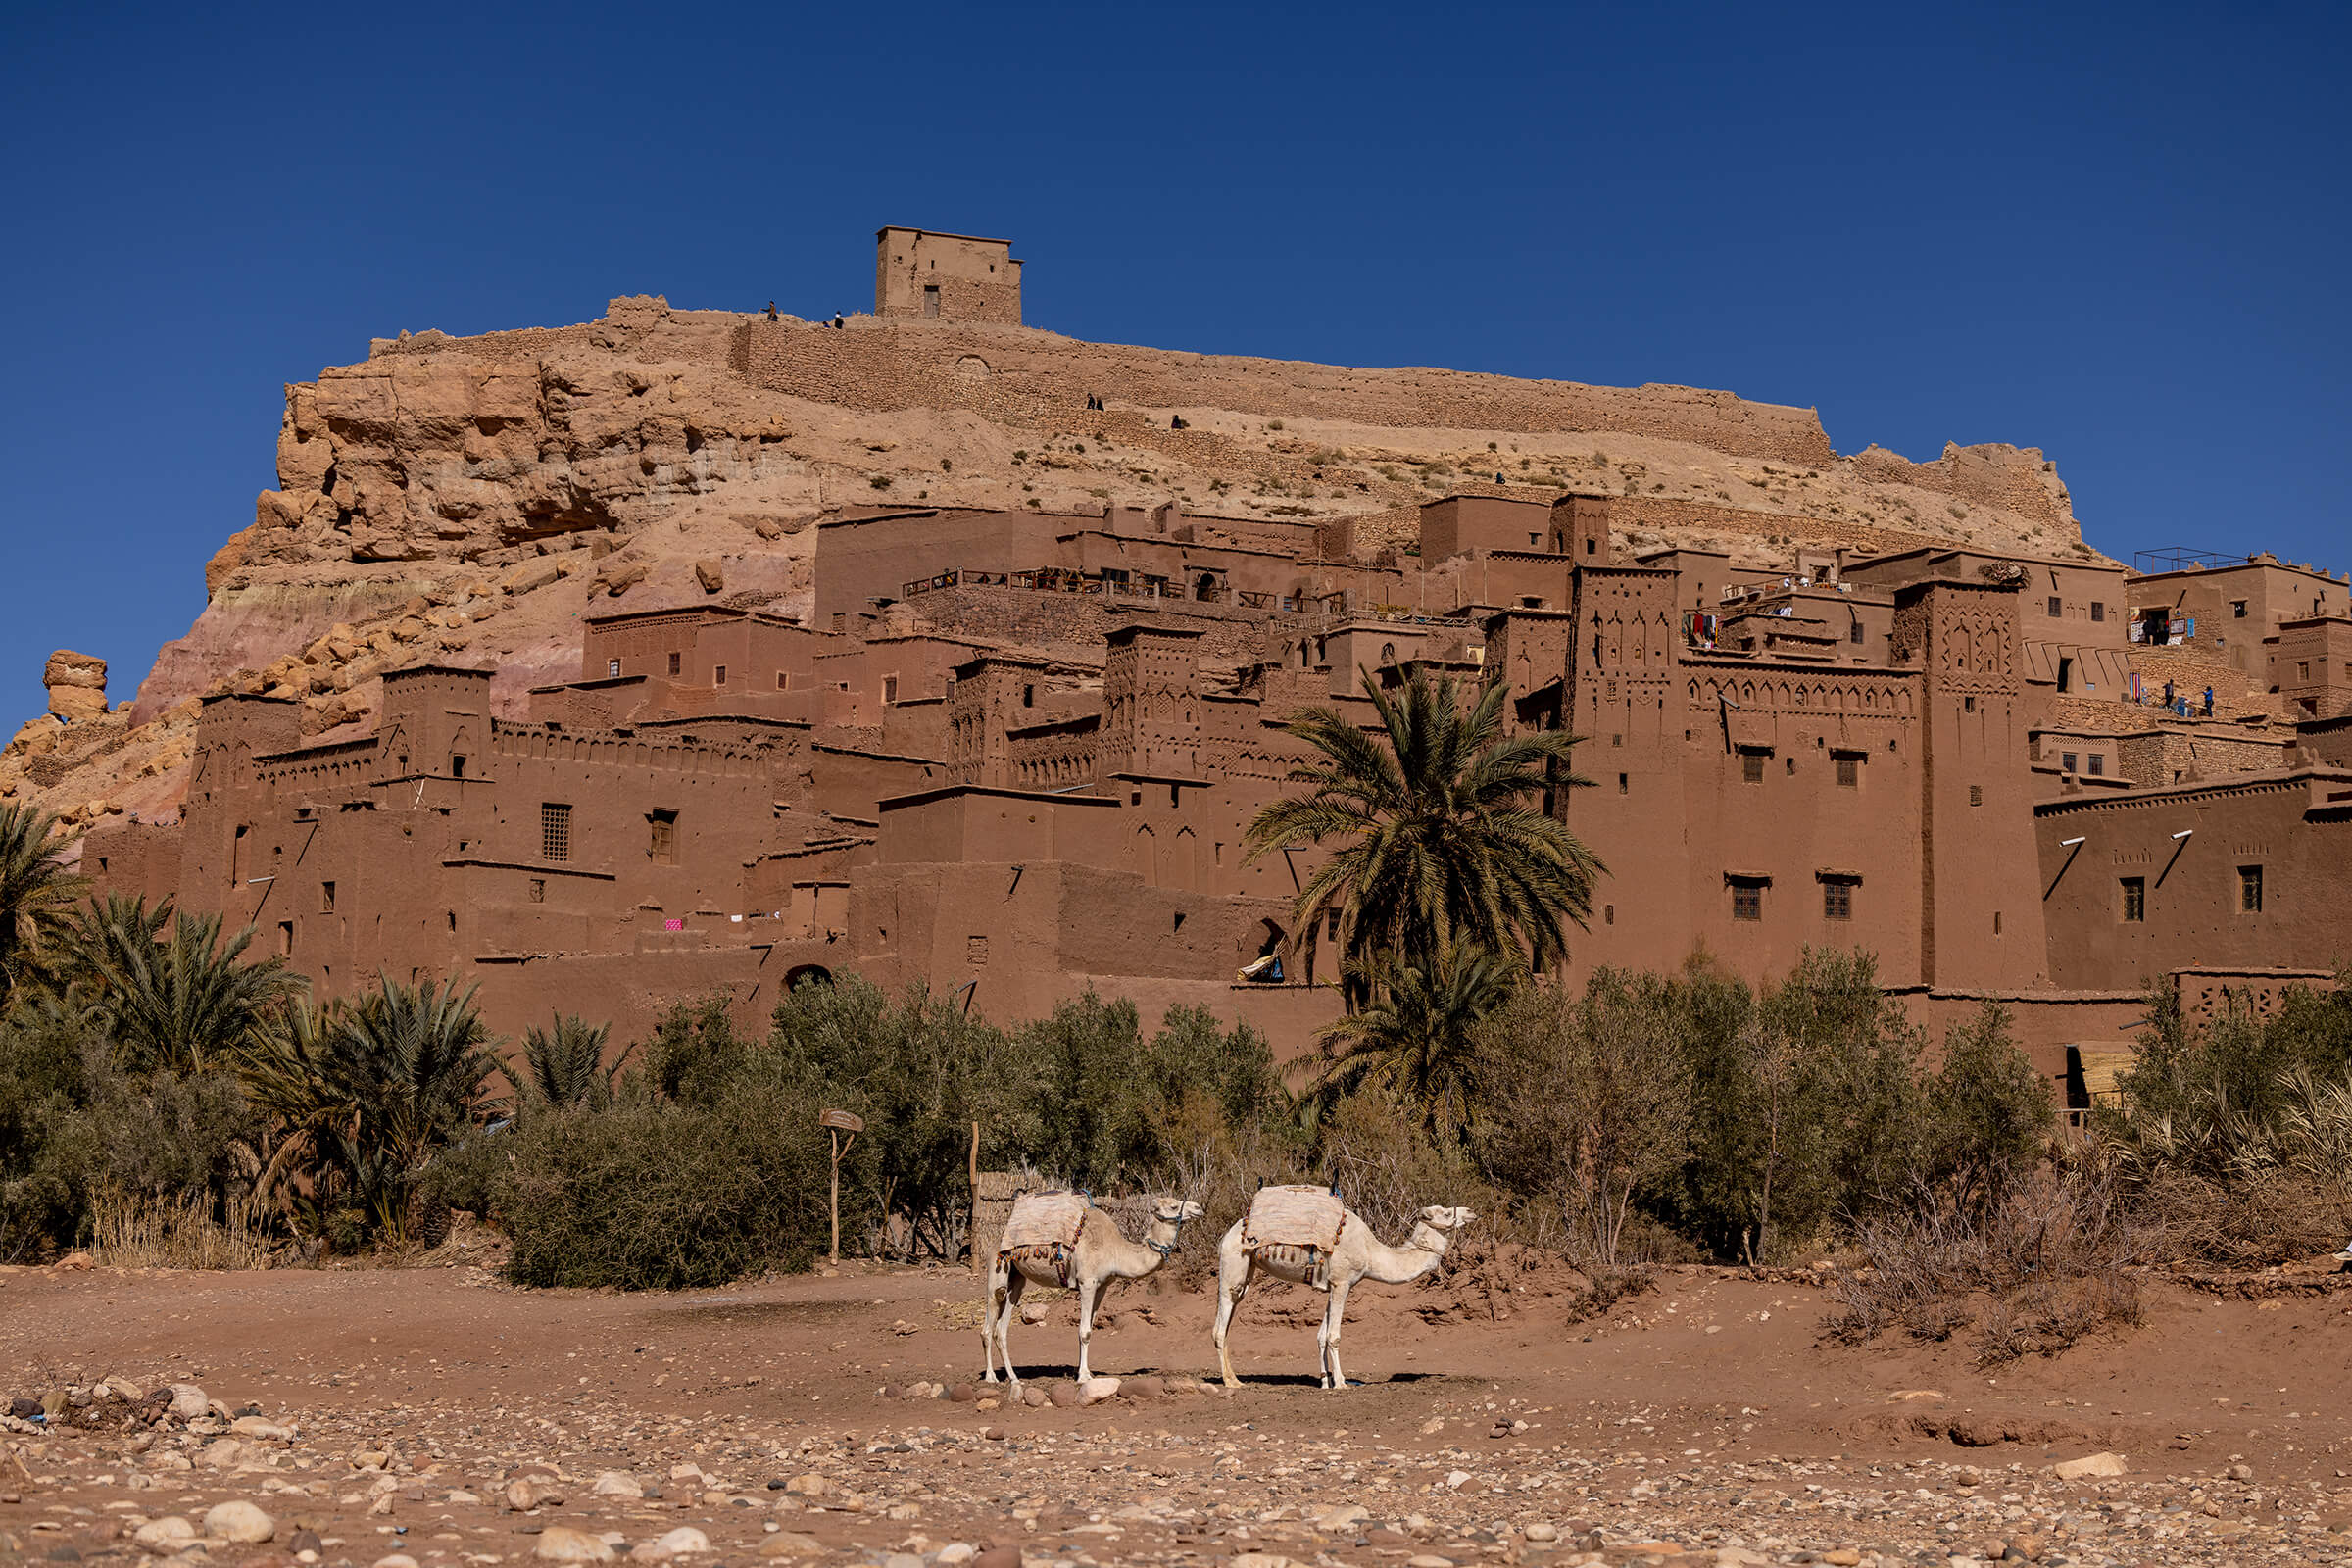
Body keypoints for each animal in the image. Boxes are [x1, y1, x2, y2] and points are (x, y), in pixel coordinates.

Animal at [981, 1195, 1205, 1393]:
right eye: (1173, 1206)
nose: (1199, 1208)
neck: (1115, 1251)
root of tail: (998, 1236)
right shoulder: (1086, 1282)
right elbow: (1084, 1331)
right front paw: (1082, 1378)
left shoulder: (1102, 1286)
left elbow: (1089, 1330)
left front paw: (1087, 1373)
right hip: (997, 1268)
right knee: (988, 1323)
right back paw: (991, 1377)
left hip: (1017, 1279)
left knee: (1001, 1328)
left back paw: (1014, 1378)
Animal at [1213, 1203, 1476, 1389]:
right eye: (1445, 1213)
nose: (1471, 1212)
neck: (1371, 1253)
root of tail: (1226, 1235)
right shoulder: (1342, 1283)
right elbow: (1334, 1336)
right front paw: (1340, 1383)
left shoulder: (1334, 1285)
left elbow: (1321, 1336)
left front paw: (1324, 1381)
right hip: (1234, 1263)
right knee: (1220, 1327)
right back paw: (1231, 1382)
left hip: (1247, 1270)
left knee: (1225, 1323)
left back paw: (1234, 1377)